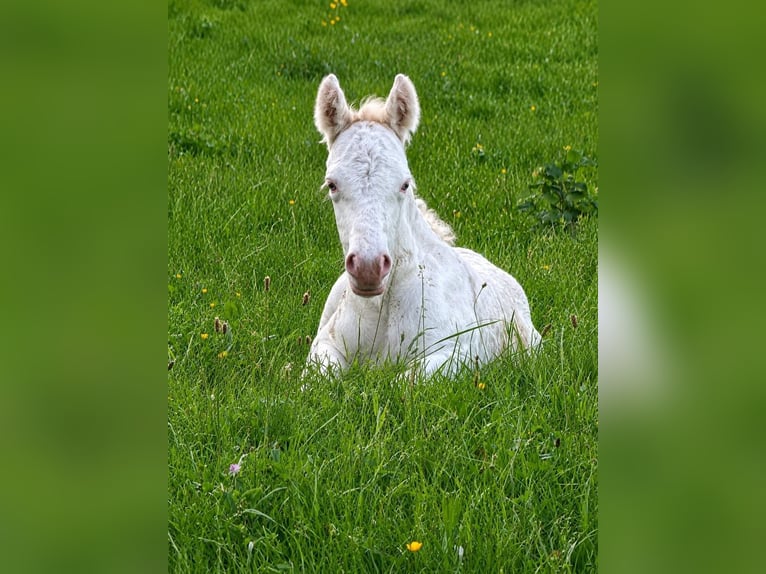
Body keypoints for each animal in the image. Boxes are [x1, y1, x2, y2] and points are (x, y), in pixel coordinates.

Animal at [306, 74, 541, 377]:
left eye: (405, 184)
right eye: (332, 184)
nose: (368, 269)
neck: (383, 306)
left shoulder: (458, 353)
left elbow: (403, 381)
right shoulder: (325, 343)